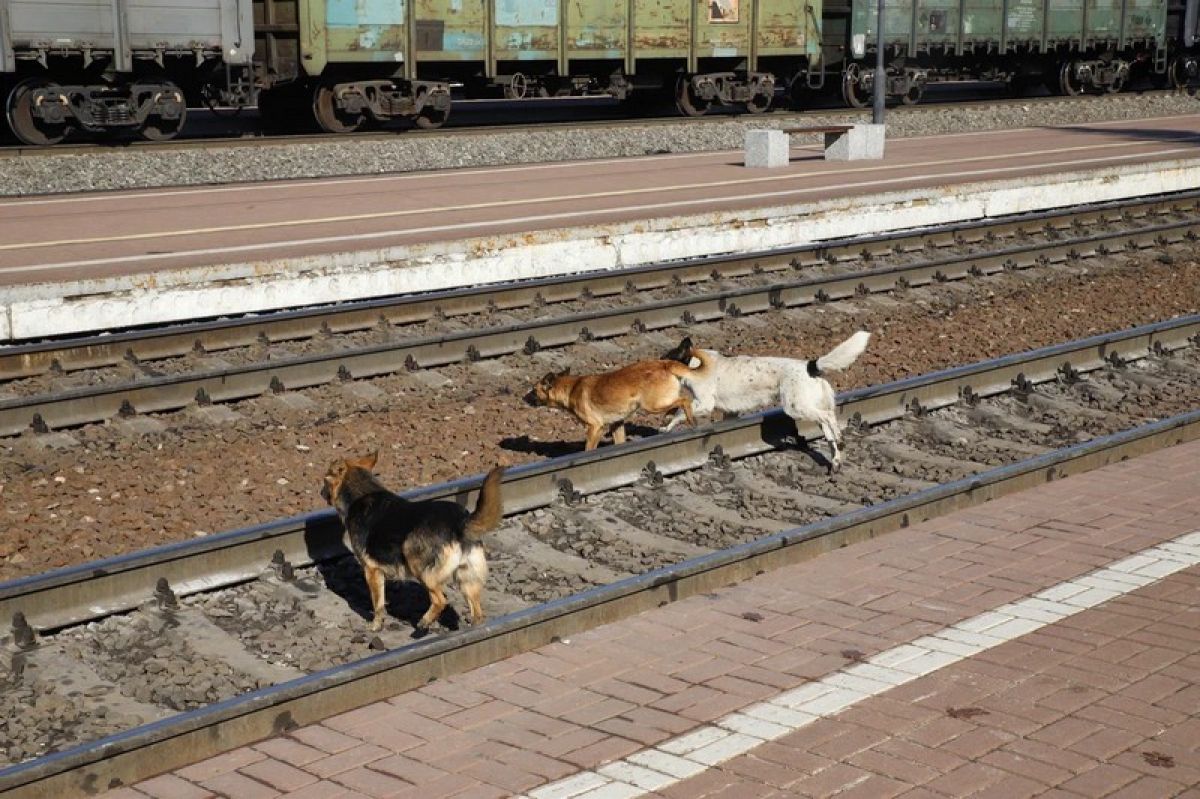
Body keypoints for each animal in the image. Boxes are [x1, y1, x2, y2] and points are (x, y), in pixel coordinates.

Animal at [321, 451, 504, 633]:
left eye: (325, 479)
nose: (321, 493)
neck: (362, 492)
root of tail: (460, 522)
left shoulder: (371, 571)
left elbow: (378, 604)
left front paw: (375, 626)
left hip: (418, 564)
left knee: (440, 600)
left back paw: (425, 621)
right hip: (467, 579)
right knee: (477, 612)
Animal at [530, 359, 700, 451]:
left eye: (533, 390)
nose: (525, 399)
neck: (571, 388)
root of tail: (664, 363)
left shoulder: (595, 428)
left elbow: (588, 449)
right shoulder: (616, 425)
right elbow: (620, 442)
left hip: (651, 405)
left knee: (684, 400)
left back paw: (691, 420)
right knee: (677, 403)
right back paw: (669, 419)